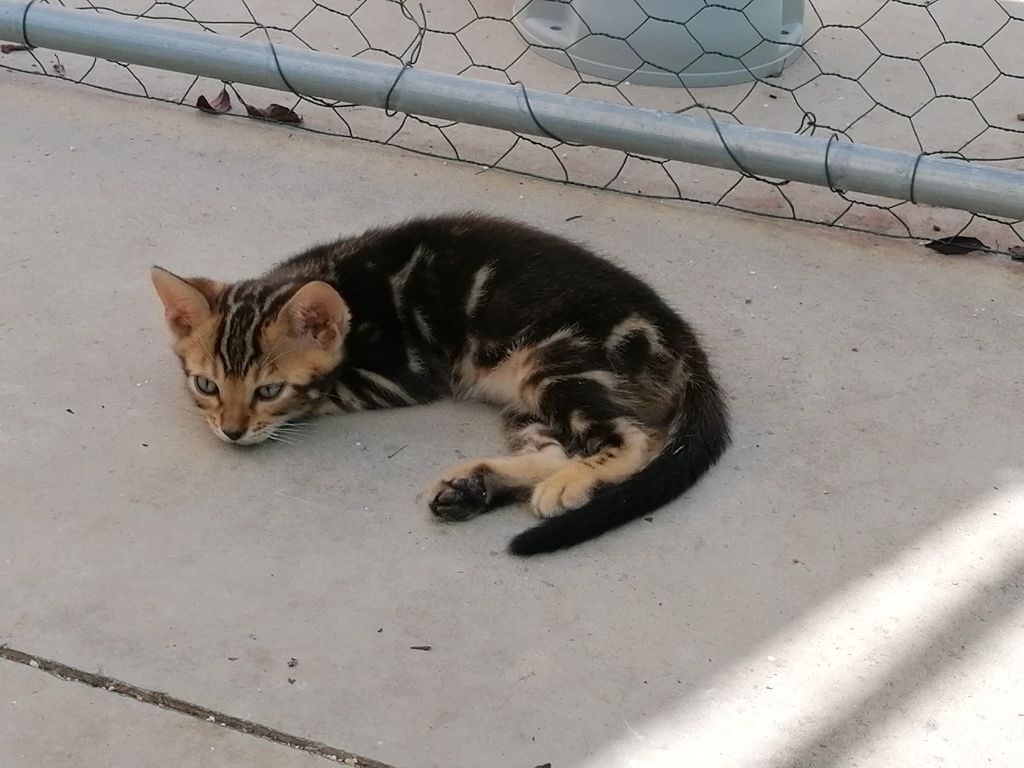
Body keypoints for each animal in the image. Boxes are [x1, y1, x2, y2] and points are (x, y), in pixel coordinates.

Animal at [149, 214, 729, 557]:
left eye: (269, 391)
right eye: (206, 384)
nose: (231, 431)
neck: (338, 287)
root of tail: (682, 340)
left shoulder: (401, 372)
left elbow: (325, 394)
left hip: (555, 359)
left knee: (631, 438)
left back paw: (564, 485)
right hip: (530, 396)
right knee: (555, 449)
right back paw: (475, 487)